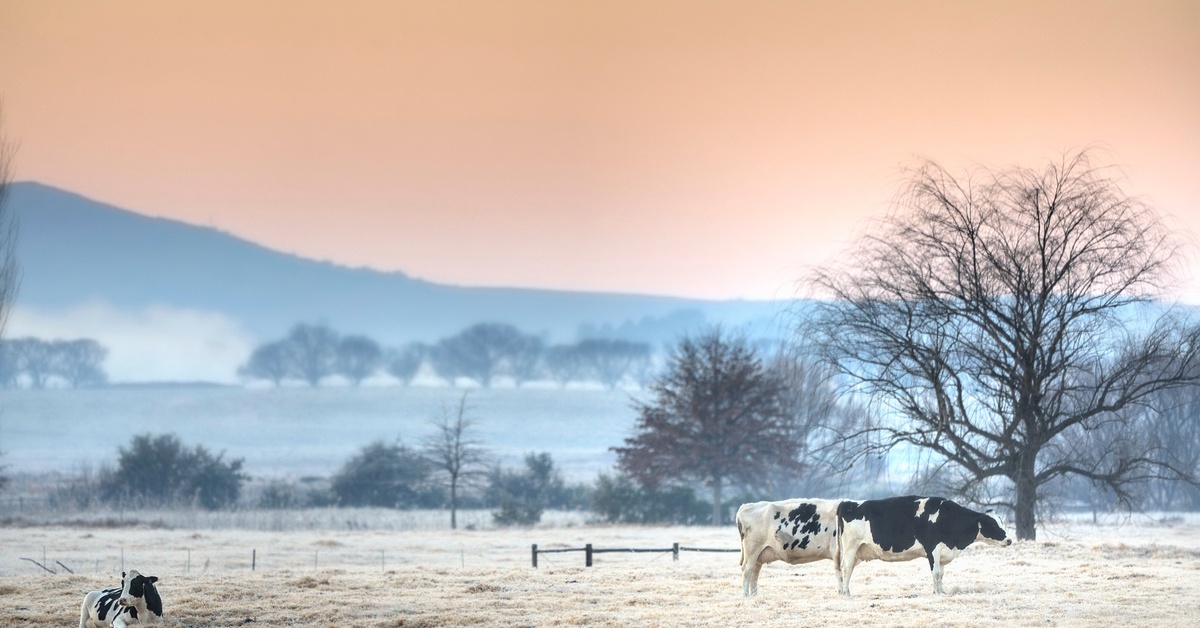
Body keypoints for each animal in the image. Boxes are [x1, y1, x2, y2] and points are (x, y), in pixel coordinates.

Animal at [835, 495, 1012, 595]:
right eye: (993, 525)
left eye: (1001, 522)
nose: (1009, 540)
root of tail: (847, 503)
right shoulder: (933, 549)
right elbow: (936, 573)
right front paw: (937, 593)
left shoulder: (942, 553)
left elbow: (941, 574)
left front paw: (941, 591)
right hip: (850, 546)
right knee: (846, 568)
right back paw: (846, 592)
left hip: (859, 550)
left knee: (846, 569)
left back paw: (843, 591)